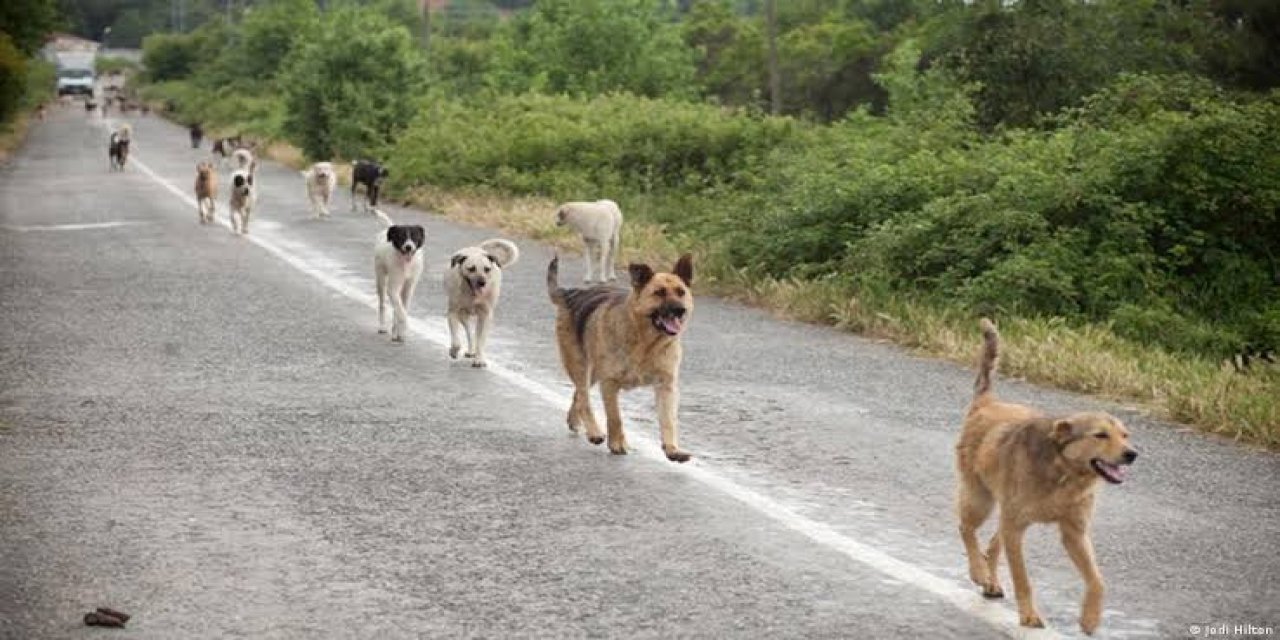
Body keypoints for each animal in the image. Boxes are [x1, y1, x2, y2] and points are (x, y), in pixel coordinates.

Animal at [373, 208, 427, 340]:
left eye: (414, 236)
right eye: (401, 237)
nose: (408, 247)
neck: (406, 263)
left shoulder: (409, 286)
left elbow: (402, 308)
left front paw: (399, 332)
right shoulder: (393, 287)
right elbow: (401, 312)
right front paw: (403, 329)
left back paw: (394, 331)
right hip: (381, 277)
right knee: (382, 304)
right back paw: (383, 327)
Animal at [442, 238, 517, 368]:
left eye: (487, 269)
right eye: (471, 268)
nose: (482, 282)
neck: (472, 295)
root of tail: (478, 249)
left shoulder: (486, 315)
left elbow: (481, 340)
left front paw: (480, 359)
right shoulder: (453, 313)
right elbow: (456, 341)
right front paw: (454, 351)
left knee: (476, 335)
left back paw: (475, 352)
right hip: (463, 315)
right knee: (470, 333)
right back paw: (470, 350)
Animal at [545, 252, 696, 463]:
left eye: (681, 292)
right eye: (659, 293)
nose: (680, 310)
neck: (646, 343)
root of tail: (570, 294)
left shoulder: (666, 386)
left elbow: (668, 420)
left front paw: (672, 449)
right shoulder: (609, 383)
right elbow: (615, 417)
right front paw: (617, 444)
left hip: (592, 373)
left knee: (578, 395)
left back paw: (574, 421)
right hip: (580, 366)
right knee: (584, 398)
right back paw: (594, 431)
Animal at [952, 320, 1141, 634]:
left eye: (1125, 435)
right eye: (1100, 435)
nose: (1132, 454)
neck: (1064, 472)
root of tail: (987, 402)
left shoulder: (1074, 532)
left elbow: (1097, 580)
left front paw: (1090, 618)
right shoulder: (1017, 528)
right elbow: (1023, 580)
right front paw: (1029, 615)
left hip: (1005, 513)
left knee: (992, 542)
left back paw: (990, 581)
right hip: (981, 499)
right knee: (967, 529)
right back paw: (979, 572)